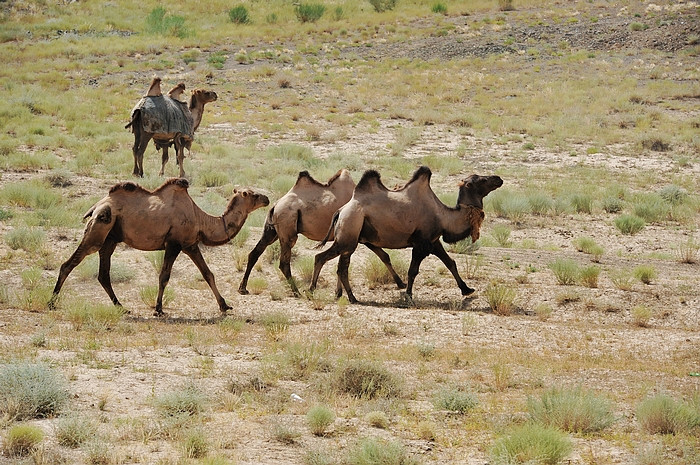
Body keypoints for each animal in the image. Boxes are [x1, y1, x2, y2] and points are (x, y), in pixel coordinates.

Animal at [49, 178, 268, 316]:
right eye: (252, 195)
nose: (266, 198)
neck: (200, 219)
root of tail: (97, 205)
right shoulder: (173, 244)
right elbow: (164, 276)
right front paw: (158, 309)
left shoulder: (190, 245)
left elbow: (208, 274)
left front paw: (224, 306)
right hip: (99, 228)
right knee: (70, 263)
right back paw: (51, 302)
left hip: (110, 238)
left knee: (103, 274)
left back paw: (121, 307)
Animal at [239, 169, 404, 296]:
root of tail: (275, 205)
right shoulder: (359, 237)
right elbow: (383, 256)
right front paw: (401, 283)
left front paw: (338, 293)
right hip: (287, 228)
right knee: (284, 262)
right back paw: (297, 291)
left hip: (271, 230)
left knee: (254, 253)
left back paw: (243, 288)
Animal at [312, 165, 504, 302]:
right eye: (481, 180)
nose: (498, 178)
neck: (443, 216)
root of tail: (341, 211)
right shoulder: (420, 243)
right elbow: (413, 271)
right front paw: (408, 296)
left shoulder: (434, 241)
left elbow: (451, 263)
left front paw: (467, 290)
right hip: (349, 235)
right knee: (326, 260)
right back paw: (323, 291)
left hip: (350, 237)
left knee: (340, 266)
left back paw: (342, 295)